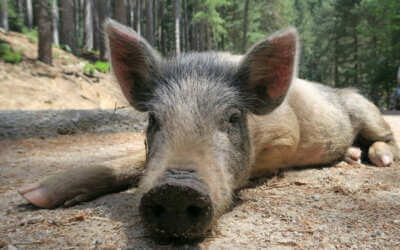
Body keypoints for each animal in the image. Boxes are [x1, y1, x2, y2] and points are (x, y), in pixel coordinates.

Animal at [17, 20, 398, 240]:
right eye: (153, 119)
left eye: (232, 117)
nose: (175, 191)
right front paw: (32, 197)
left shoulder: (285, 138)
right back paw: (351, 156)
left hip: (366, 110)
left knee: (385, 137)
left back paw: (378, 160)